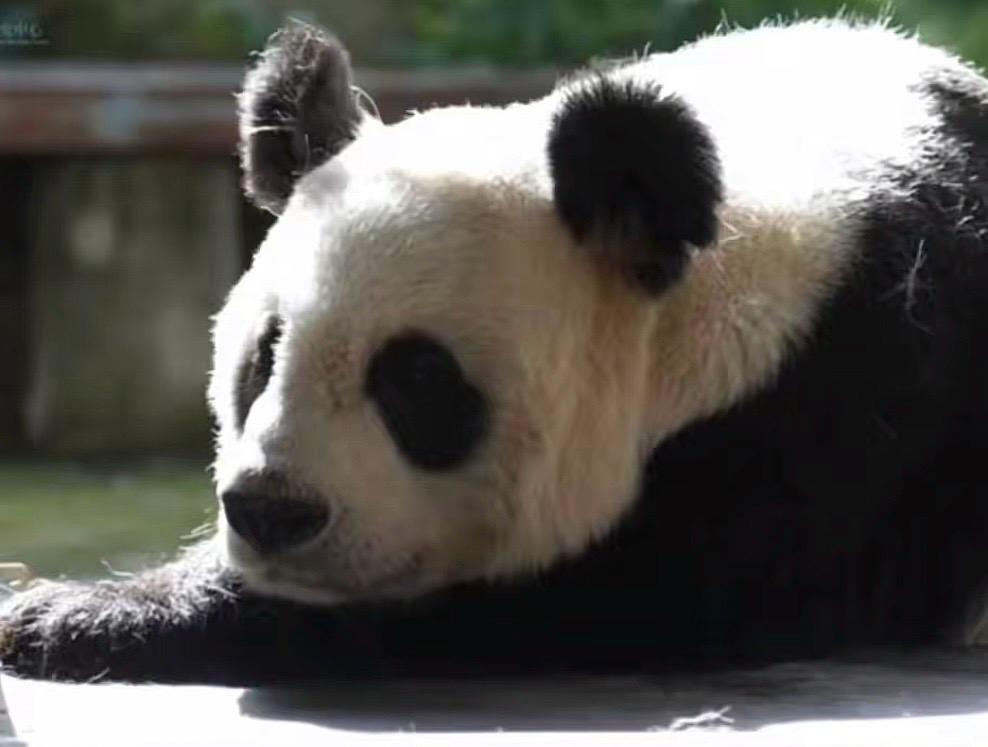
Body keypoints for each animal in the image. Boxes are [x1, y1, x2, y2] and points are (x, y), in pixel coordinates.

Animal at [3, 17, 988, 684]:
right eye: (262, 357)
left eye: (418, 379)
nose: (272, 510)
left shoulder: (840, 399)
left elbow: (617, 596)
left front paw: (64, 613)